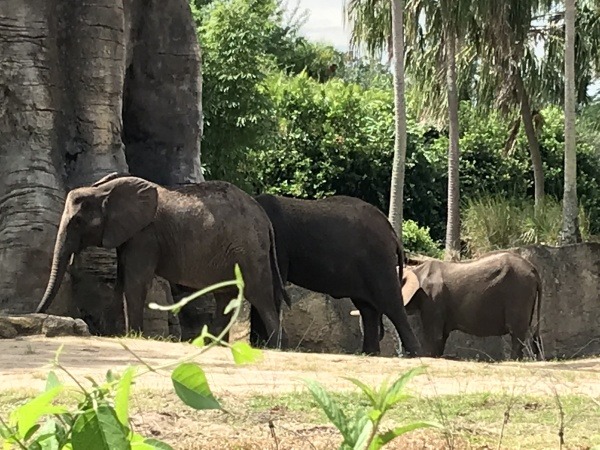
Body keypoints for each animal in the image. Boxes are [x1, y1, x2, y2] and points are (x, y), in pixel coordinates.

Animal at [36, 173, 290, 348]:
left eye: (77, 222)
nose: (37, 312)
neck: (104, 190)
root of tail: (266, 221)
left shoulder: (145, 235)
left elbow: (136, 282)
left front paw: (133, 335)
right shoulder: (128, 235)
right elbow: (121, 279)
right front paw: (114, 334)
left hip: (250, 251)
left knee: (260, 295)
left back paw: (274, 347)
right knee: (225, 297)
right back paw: (214, 345)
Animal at [250, 193, 422, 358]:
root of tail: (392, 233)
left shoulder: (278, 244)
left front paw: (262, 345)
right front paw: (257, 345)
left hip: (379, 260)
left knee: (391, 304)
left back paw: (414, 354)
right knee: (368, 309)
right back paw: (370, 353)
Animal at [398, 251, 544, 360]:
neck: (416, 270)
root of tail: (534, 270)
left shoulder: (432, 298)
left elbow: (434, 336)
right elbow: (442, 336)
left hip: (519, 291)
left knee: (517, 333)